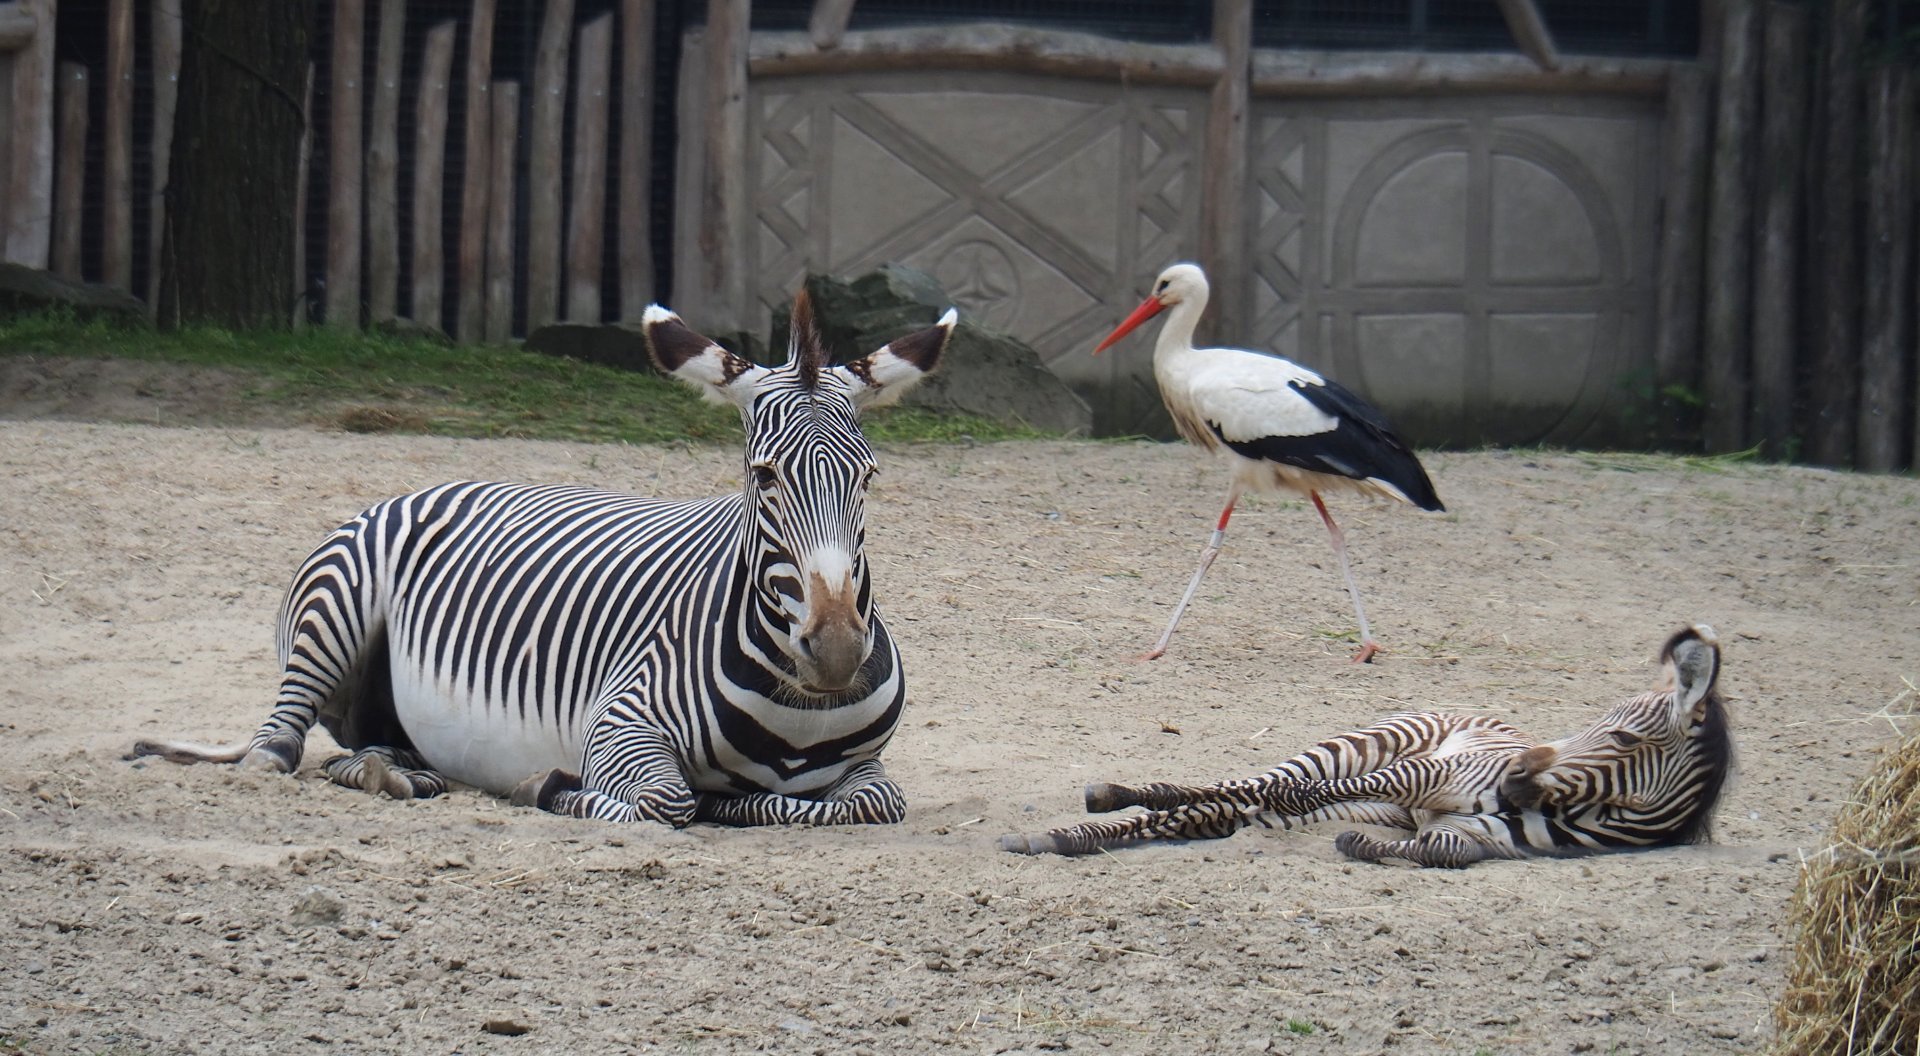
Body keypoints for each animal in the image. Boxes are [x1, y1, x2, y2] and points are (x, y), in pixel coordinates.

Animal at [131, 291, 955, 828]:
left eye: (869, 477)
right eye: (763, 477)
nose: (838, 648)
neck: (795, 710)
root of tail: (444, 481)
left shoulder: (867, 769)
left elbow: (869, 801)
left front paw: (742, 799)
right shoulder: (619, 725)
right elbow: (666, 801)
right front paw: (554, 787)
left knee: (364, 746)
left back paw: (398, 772)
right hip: (331, 619)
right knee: (275, 748)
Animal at [1001, 625, 1732, 867]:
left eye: (1623, 736)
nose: (1514, 776)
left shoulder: (1473, 838)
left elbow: (1444, 851)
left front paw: (1369, 851)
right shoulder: (1422, 780)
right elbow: (1279, 786)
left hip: (1361, 803)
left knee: (1227, 810)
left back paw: (1078, 833)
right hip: (1366, 751)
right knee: (1258, 784)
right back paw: (1096, 809)